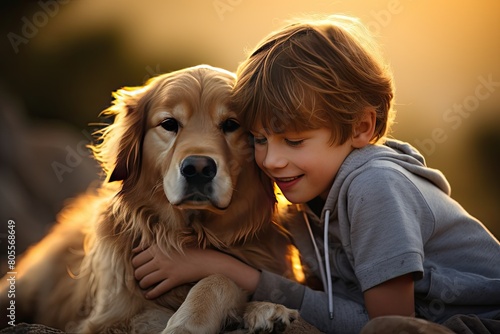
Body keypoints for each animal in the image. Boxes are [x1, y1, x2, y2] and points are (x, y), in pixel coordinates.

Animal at [0, 64, 298, 332]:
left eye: (231, 125)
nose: (198, 168)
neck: (189, 236)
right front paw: (187, 325)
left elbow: (220, 276)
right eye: (169, 124)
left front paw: (265, 309)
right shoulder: (106, 320)